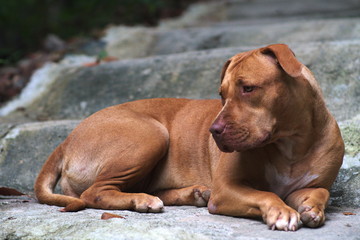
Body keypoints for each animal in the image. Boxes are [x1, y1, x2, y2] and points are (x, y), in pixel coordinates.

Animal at [35, 44, 344, 231]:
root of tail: (67, 139)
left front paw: (312, 208)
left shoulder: (312, 183)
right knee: (95, 193)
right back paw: (141, 200)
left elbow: (321, 192)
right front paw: (281, 211)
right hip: (151, 134)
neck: (291, 142)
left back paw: (189, 193)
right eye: (221, 94)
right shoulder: (227, 189)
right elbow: (265, 194)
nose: (214, 130)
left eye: (248, 88)